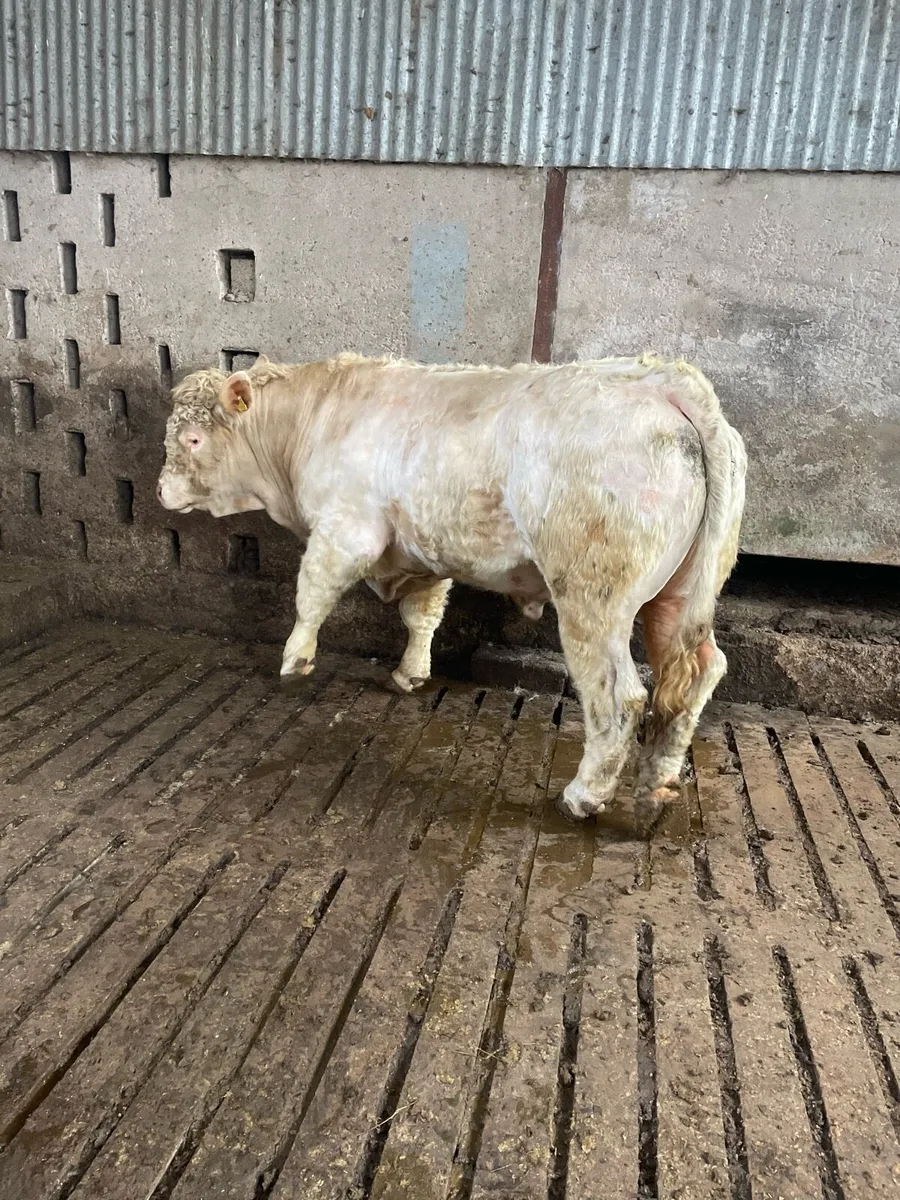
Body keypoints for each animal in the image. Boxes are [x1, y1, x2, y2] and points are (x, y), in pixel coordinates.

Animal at [157, 352, 746, 821]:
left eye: (192, 438)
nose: (161, 491)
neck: (313, 421)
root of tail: (663, 382)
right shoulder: (424, 550)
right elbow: (422, 615)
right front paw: (411, 672)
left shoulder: (345, 531)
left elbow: (311, 596)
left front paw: (294, 661)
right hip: (679, 596)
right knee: (696, 673)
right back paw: (656, 786)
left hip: (592, 597)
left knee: (620, 697)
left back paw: (583, 796)